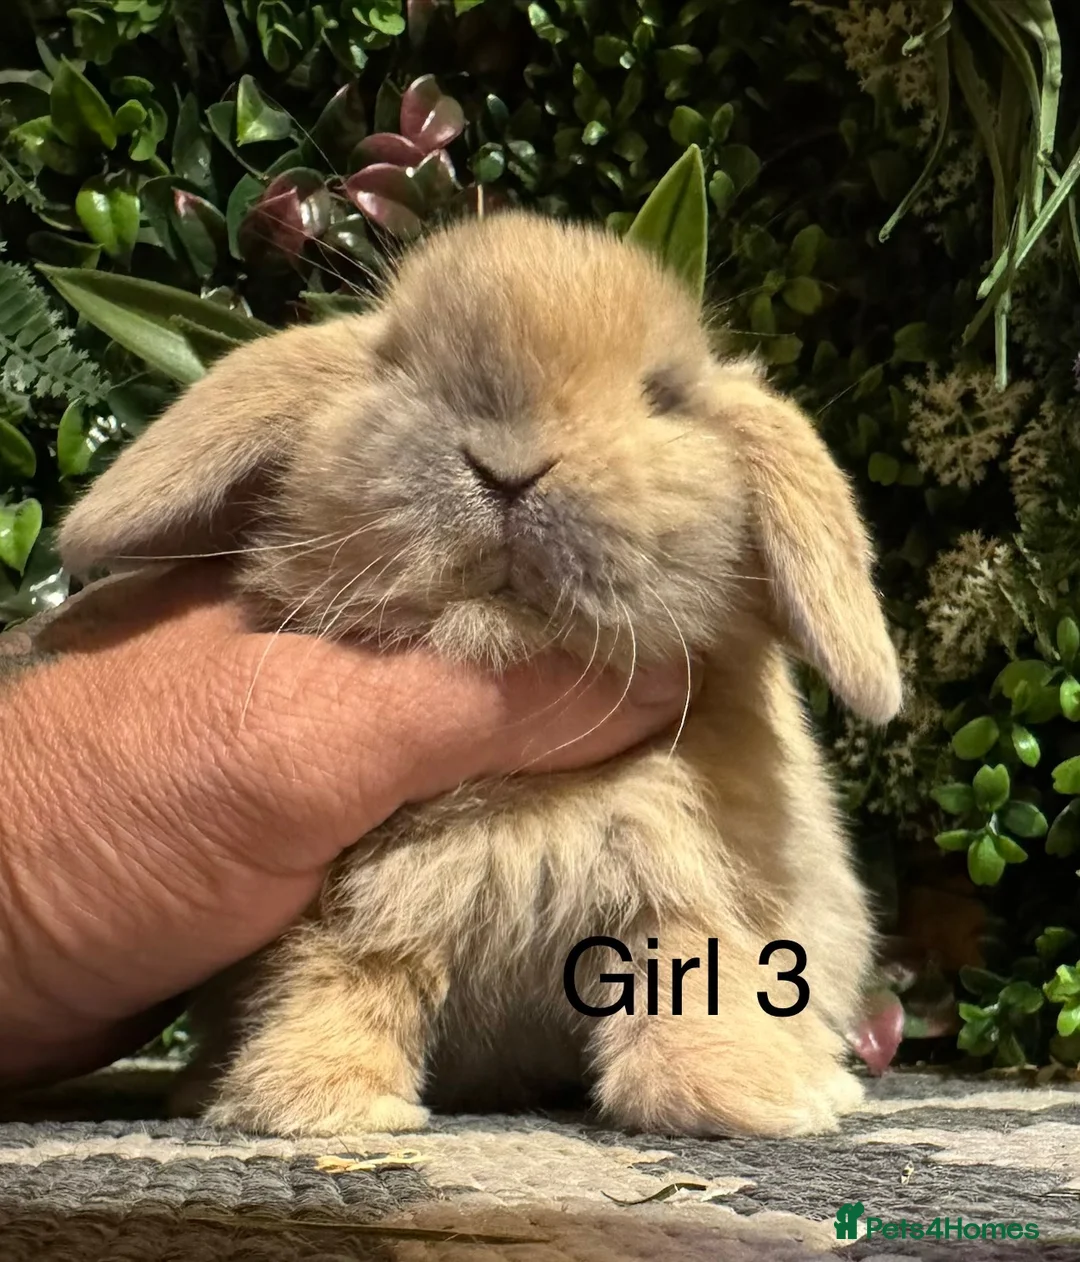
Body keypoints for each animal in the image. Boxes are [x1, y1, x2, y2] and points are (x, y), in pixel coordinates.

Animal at [58, 209, 902, 1140]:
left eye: (664, 397)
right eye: (400, 365)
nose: (508, 467)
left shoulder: (679, 891)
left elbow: (691, 974)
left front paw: (745, 1097)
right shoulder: (356, 915)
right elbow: (338, 984)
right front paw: (322, 1104)